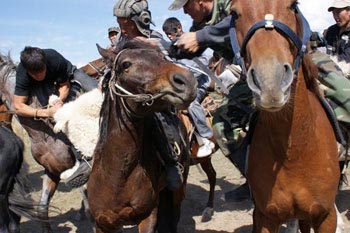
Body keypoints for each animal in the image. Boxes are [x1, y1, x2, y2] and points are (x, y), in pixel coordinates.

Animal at [87, 39, 197, 231]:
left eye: (162, 57)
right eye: (125, 64)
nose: (187, 81)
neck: (117, 177)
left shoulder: (148, 216)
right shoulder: (102, 223)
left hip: (178, 189)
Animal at [231, 0, 340, 232]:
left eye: (293, 5)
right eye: (234, 13)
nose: (270, 83)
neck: (293, 151)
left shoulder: (326, 216)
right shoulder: (266, 217)